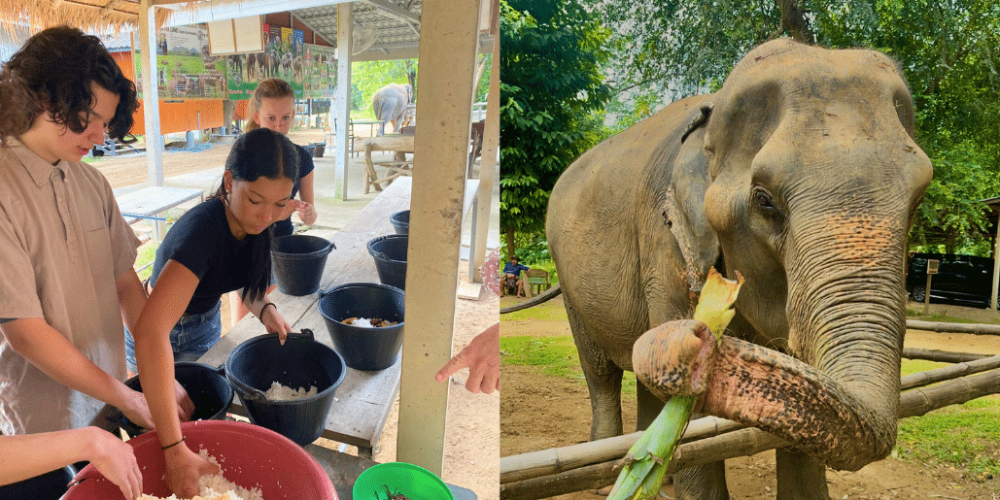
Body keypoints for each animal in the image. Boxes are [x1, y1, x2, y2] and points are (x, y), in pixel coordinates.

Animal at [537, 39, 933, 498]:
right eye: (764, 200)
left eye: (918, 201)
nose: (698, 341)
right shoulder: (665, 242)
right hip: (568, 280)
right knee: (599, 372)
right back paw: (607, 478)